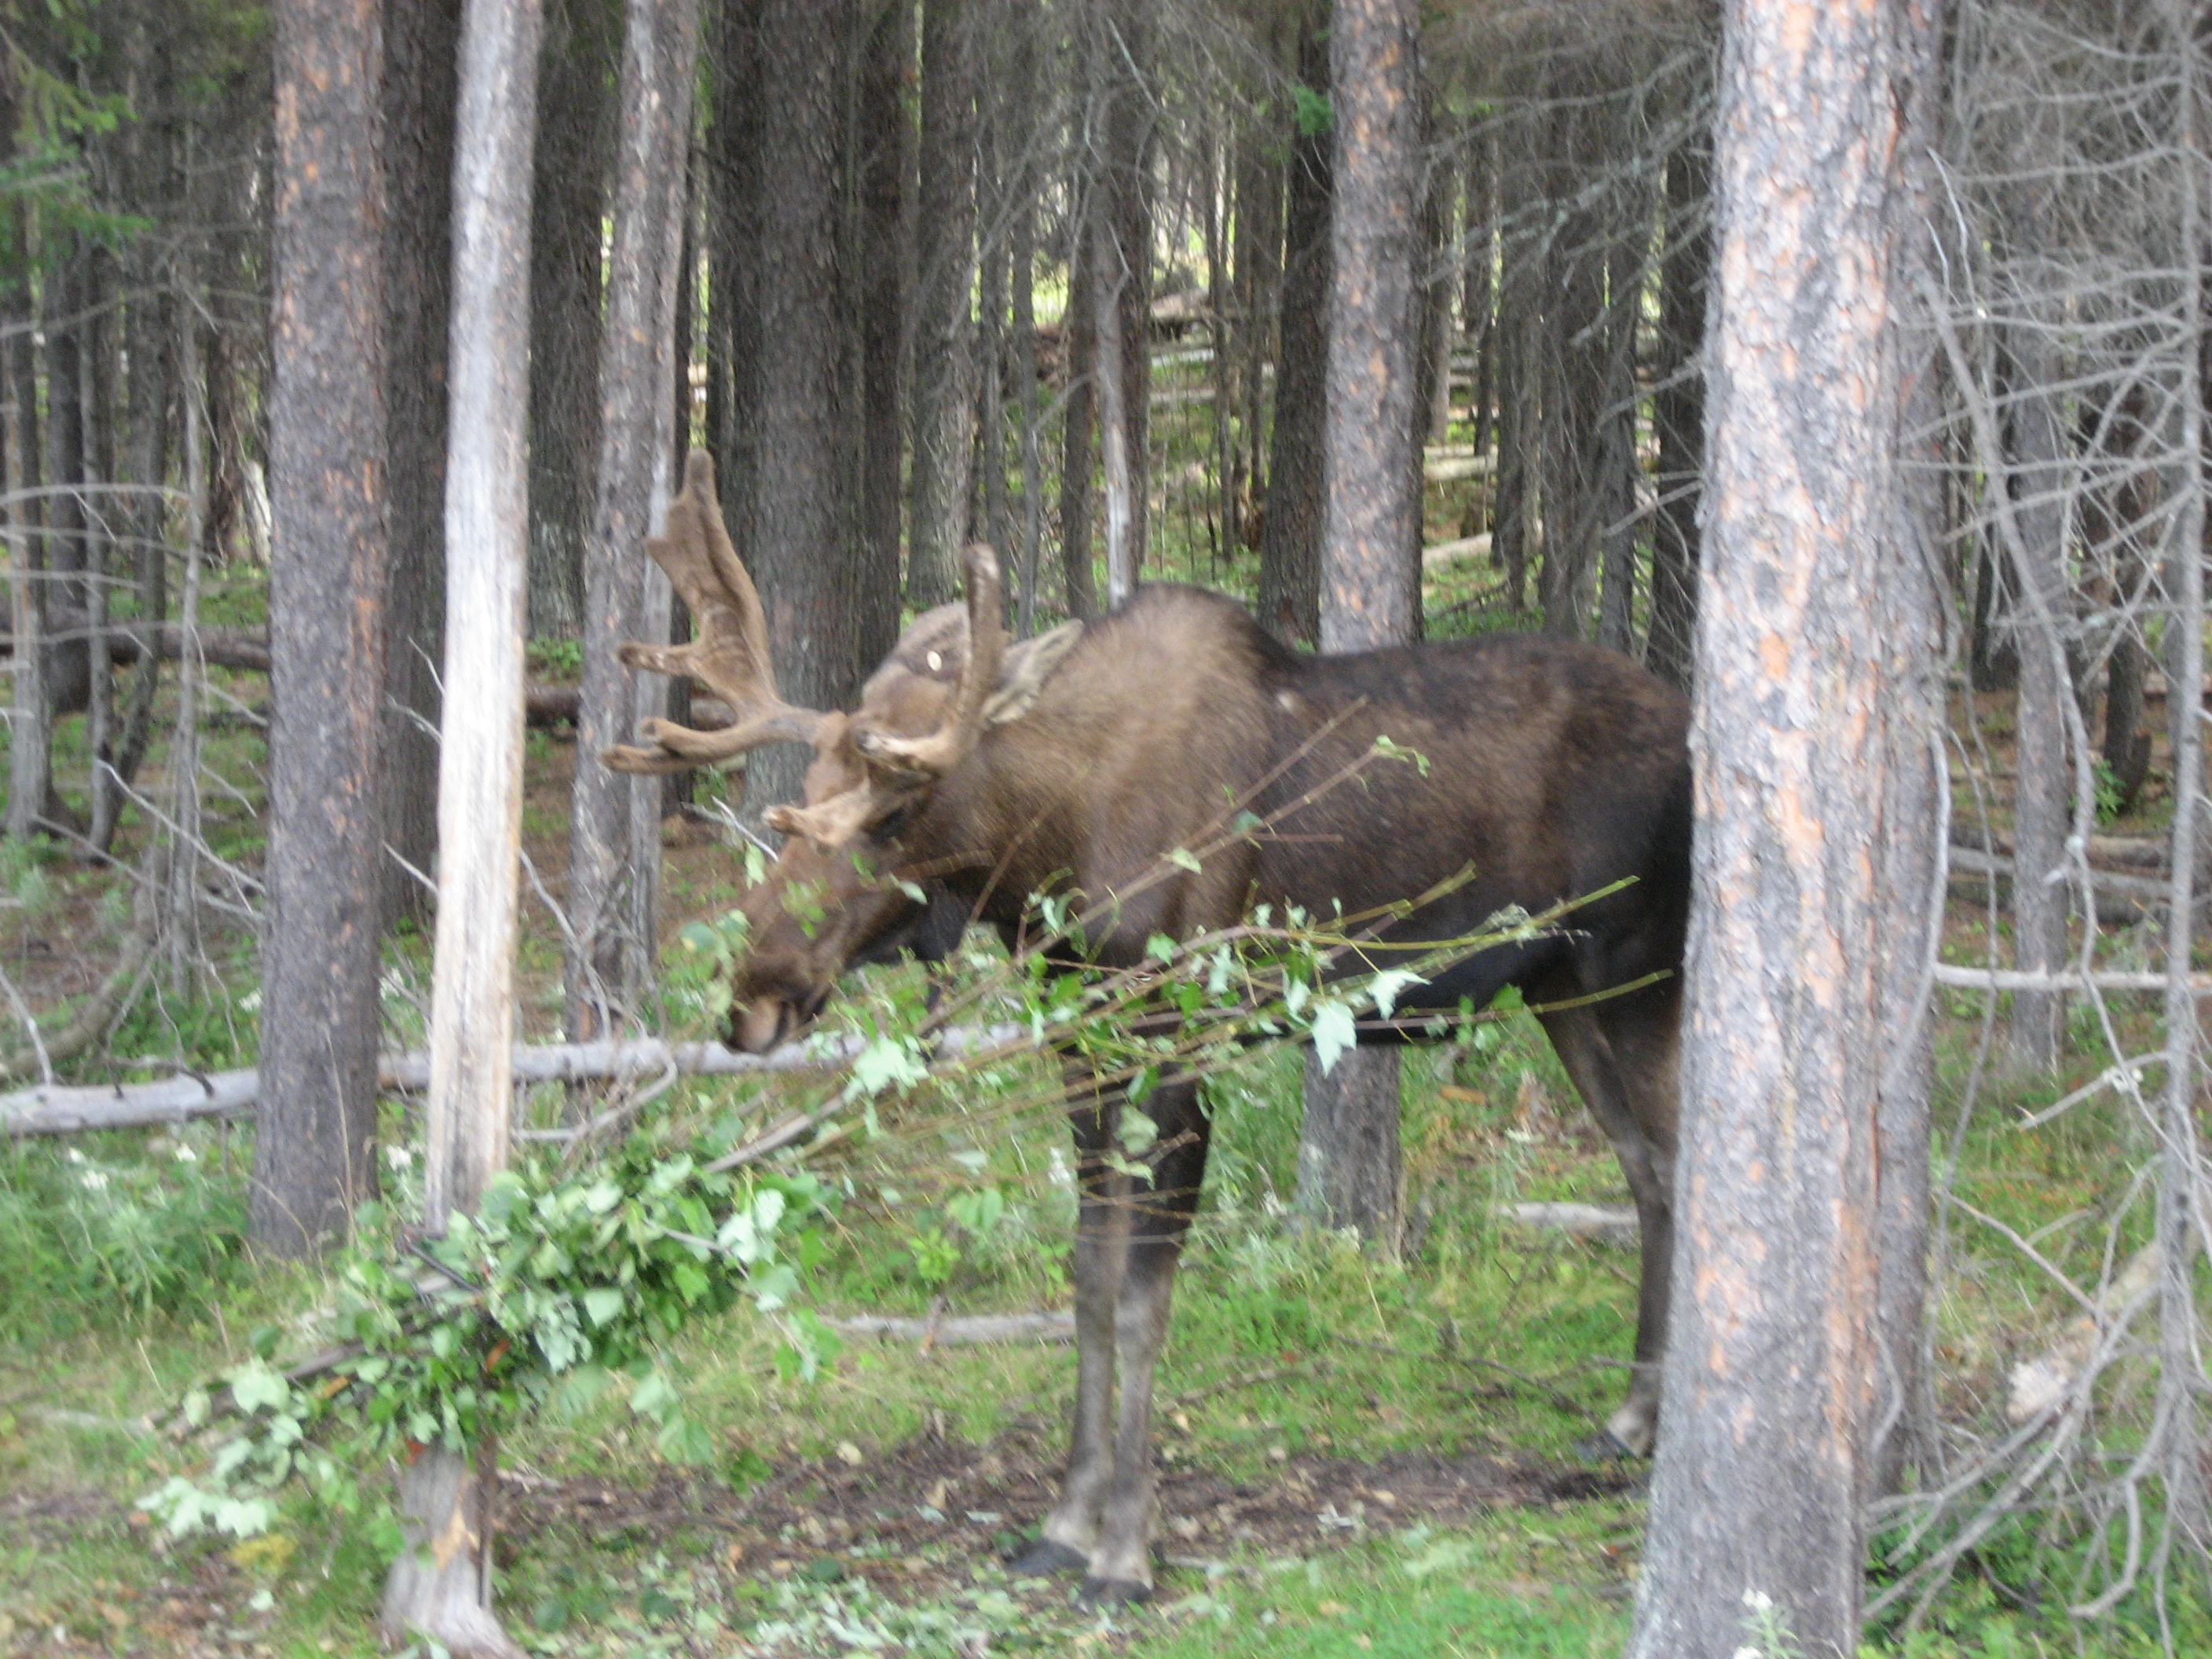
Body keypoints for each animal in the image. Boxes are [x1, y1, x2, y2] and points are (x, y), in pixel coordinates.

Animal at [606, 451, 1692, 1604]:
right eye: (805, 788)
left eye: (895, 811)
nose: (754, 994)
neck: (1051, 860)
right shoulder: (1081, 1044)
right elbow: (1087, 1274)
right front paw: (1062, 1522)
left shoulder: (1180, 1040)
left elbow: (1143, 1291)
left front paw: (1124, 1548)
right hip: (1560, 989)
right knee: (1642, 1168)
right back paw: (1626, 1420)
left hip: (1637, 966)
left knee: (1675, 1160)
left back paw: (1644, 1421)